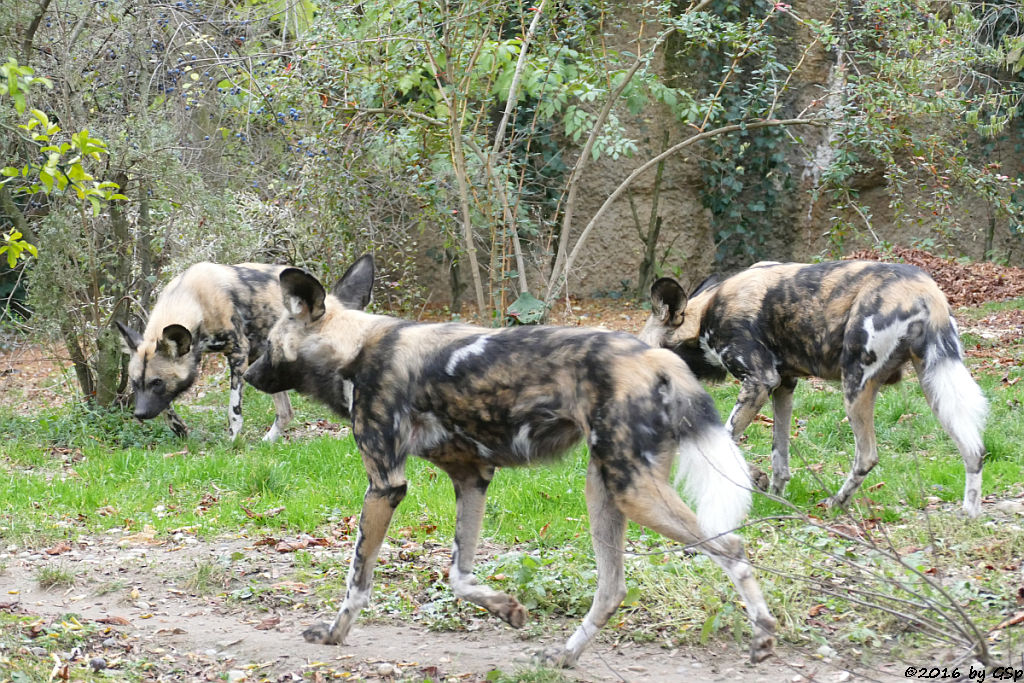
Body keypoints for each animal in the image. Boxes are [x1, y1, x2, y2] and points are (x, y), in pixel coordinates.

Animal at [116, 262, 372, 444]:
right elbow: (166, 405)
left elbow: (234, 409)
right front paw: (178, 428)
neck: (190, 298)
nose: (139, 414)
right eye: (135, 383)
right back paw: (267, 442)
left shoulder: (238, 354)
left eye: (157, 382)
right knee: (286, 412)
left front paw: (232, 440)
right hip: (268, 364)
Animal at [245, 255, 774, 667]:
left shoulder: (385, 484)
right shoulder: (472, 477)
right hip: (606, 488)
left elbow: (358, 579)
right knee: (613, 586)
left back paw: (764, 635)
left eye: (268, 344)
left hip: (633, 491)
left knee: (732, 547)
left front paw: (334, 635)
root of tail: (659, 358)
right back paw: (564, 656)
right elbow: (458, 575)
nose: (248, 374)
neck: (354, 348)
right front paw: (506, 609)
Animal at [643, 262, 987, 518]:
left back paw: (835, 503)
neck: (704, 317)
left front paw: (752, 481)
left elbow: (724, 440)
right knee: (973, 448)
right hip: (935, 382)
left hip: (856, 383)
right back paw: (969, 513)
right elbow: (779, 454)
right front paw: (775, 496)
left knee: (867, 456)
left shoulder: (759, 381)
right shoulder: (782, 385)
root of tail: (923, 290)